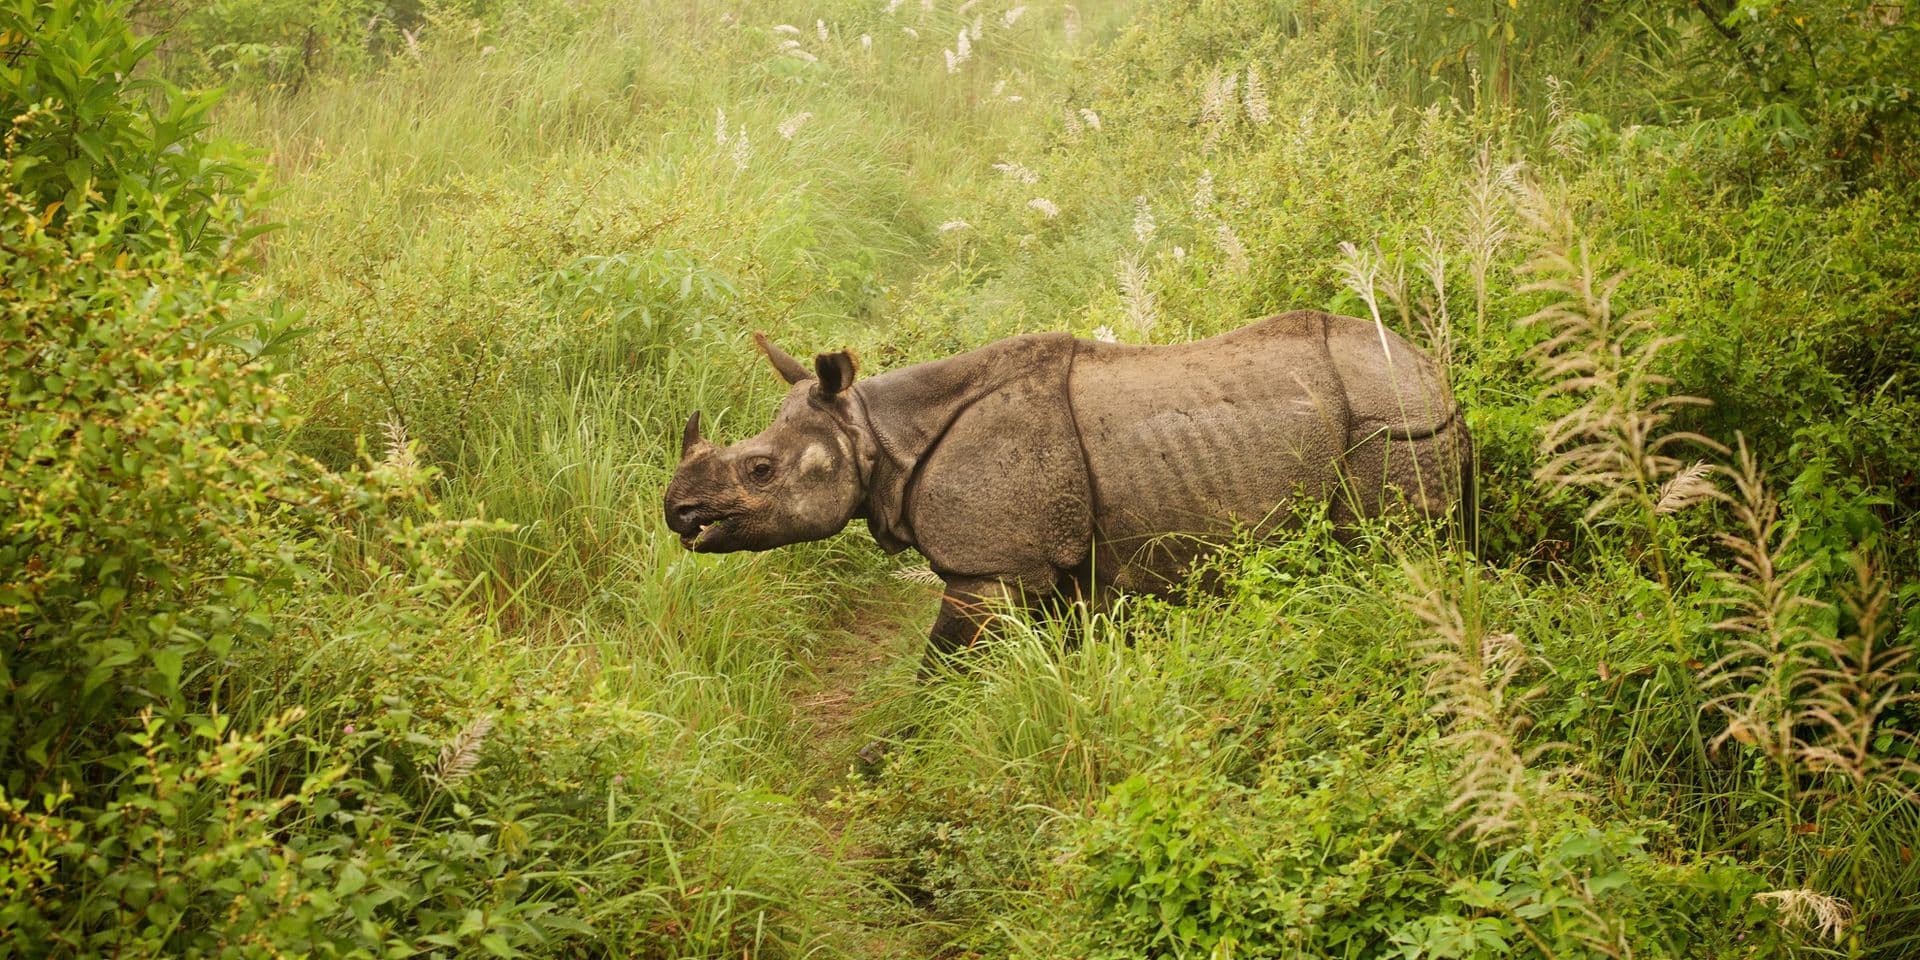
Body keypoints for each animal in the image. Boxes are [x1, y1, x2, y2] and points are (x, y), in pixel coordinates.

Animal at [664, 311, 1471, 672]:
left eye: (760, 470)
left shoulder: (990, 567)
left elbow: (942, 664)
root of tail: (1433, 369)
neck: (874, 433)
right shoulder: (1056, 561)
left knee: (1389, 551)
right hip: (1398, 415)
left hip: (1393, 426)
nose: (678, 513)